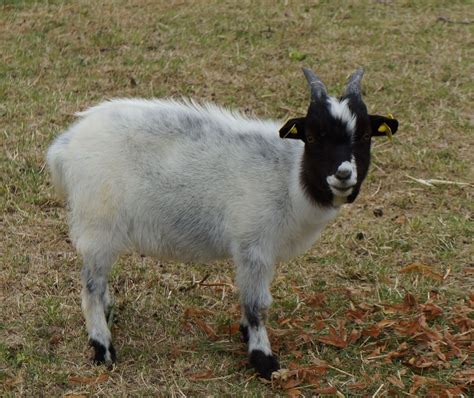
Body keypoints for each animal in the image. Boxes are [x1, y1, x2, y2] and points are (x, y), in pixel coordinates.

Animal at [46, 68, 398, 380]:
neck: (289, 177)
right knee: (91, 286)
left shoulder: (259, 251)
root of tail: (65, 146)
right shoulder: (252, 245)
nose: (343, 174)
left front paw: (246, 334)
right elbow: (257, 304)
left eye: (364, 135)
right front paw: (264, 359)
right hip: (97, 222)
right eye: (311, 135)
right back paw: (102, 347)